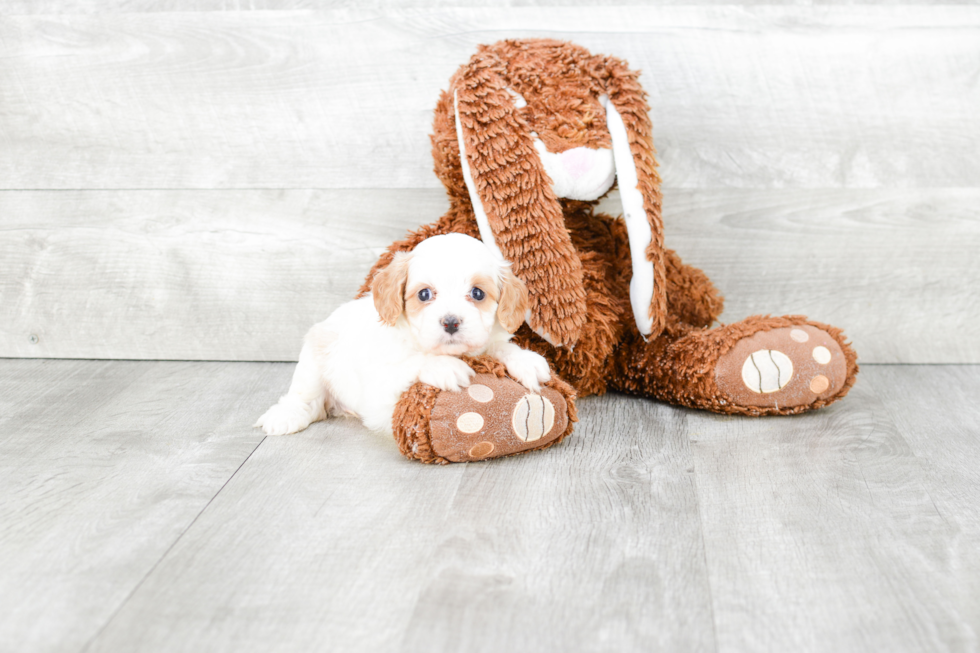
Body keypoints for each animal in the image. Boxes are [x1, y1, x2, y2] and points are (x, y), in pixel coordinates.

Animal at [255, 232, 552, 436]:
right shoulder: (379, 388)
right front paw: (444, 367)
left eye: (478, 293)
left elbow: (500, 347)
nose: (451, 322)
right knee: (304, 396)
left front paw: (525, 360)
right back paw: (285, 416)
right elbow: (409, 364)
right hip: (314, 357)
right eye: (424, 294)